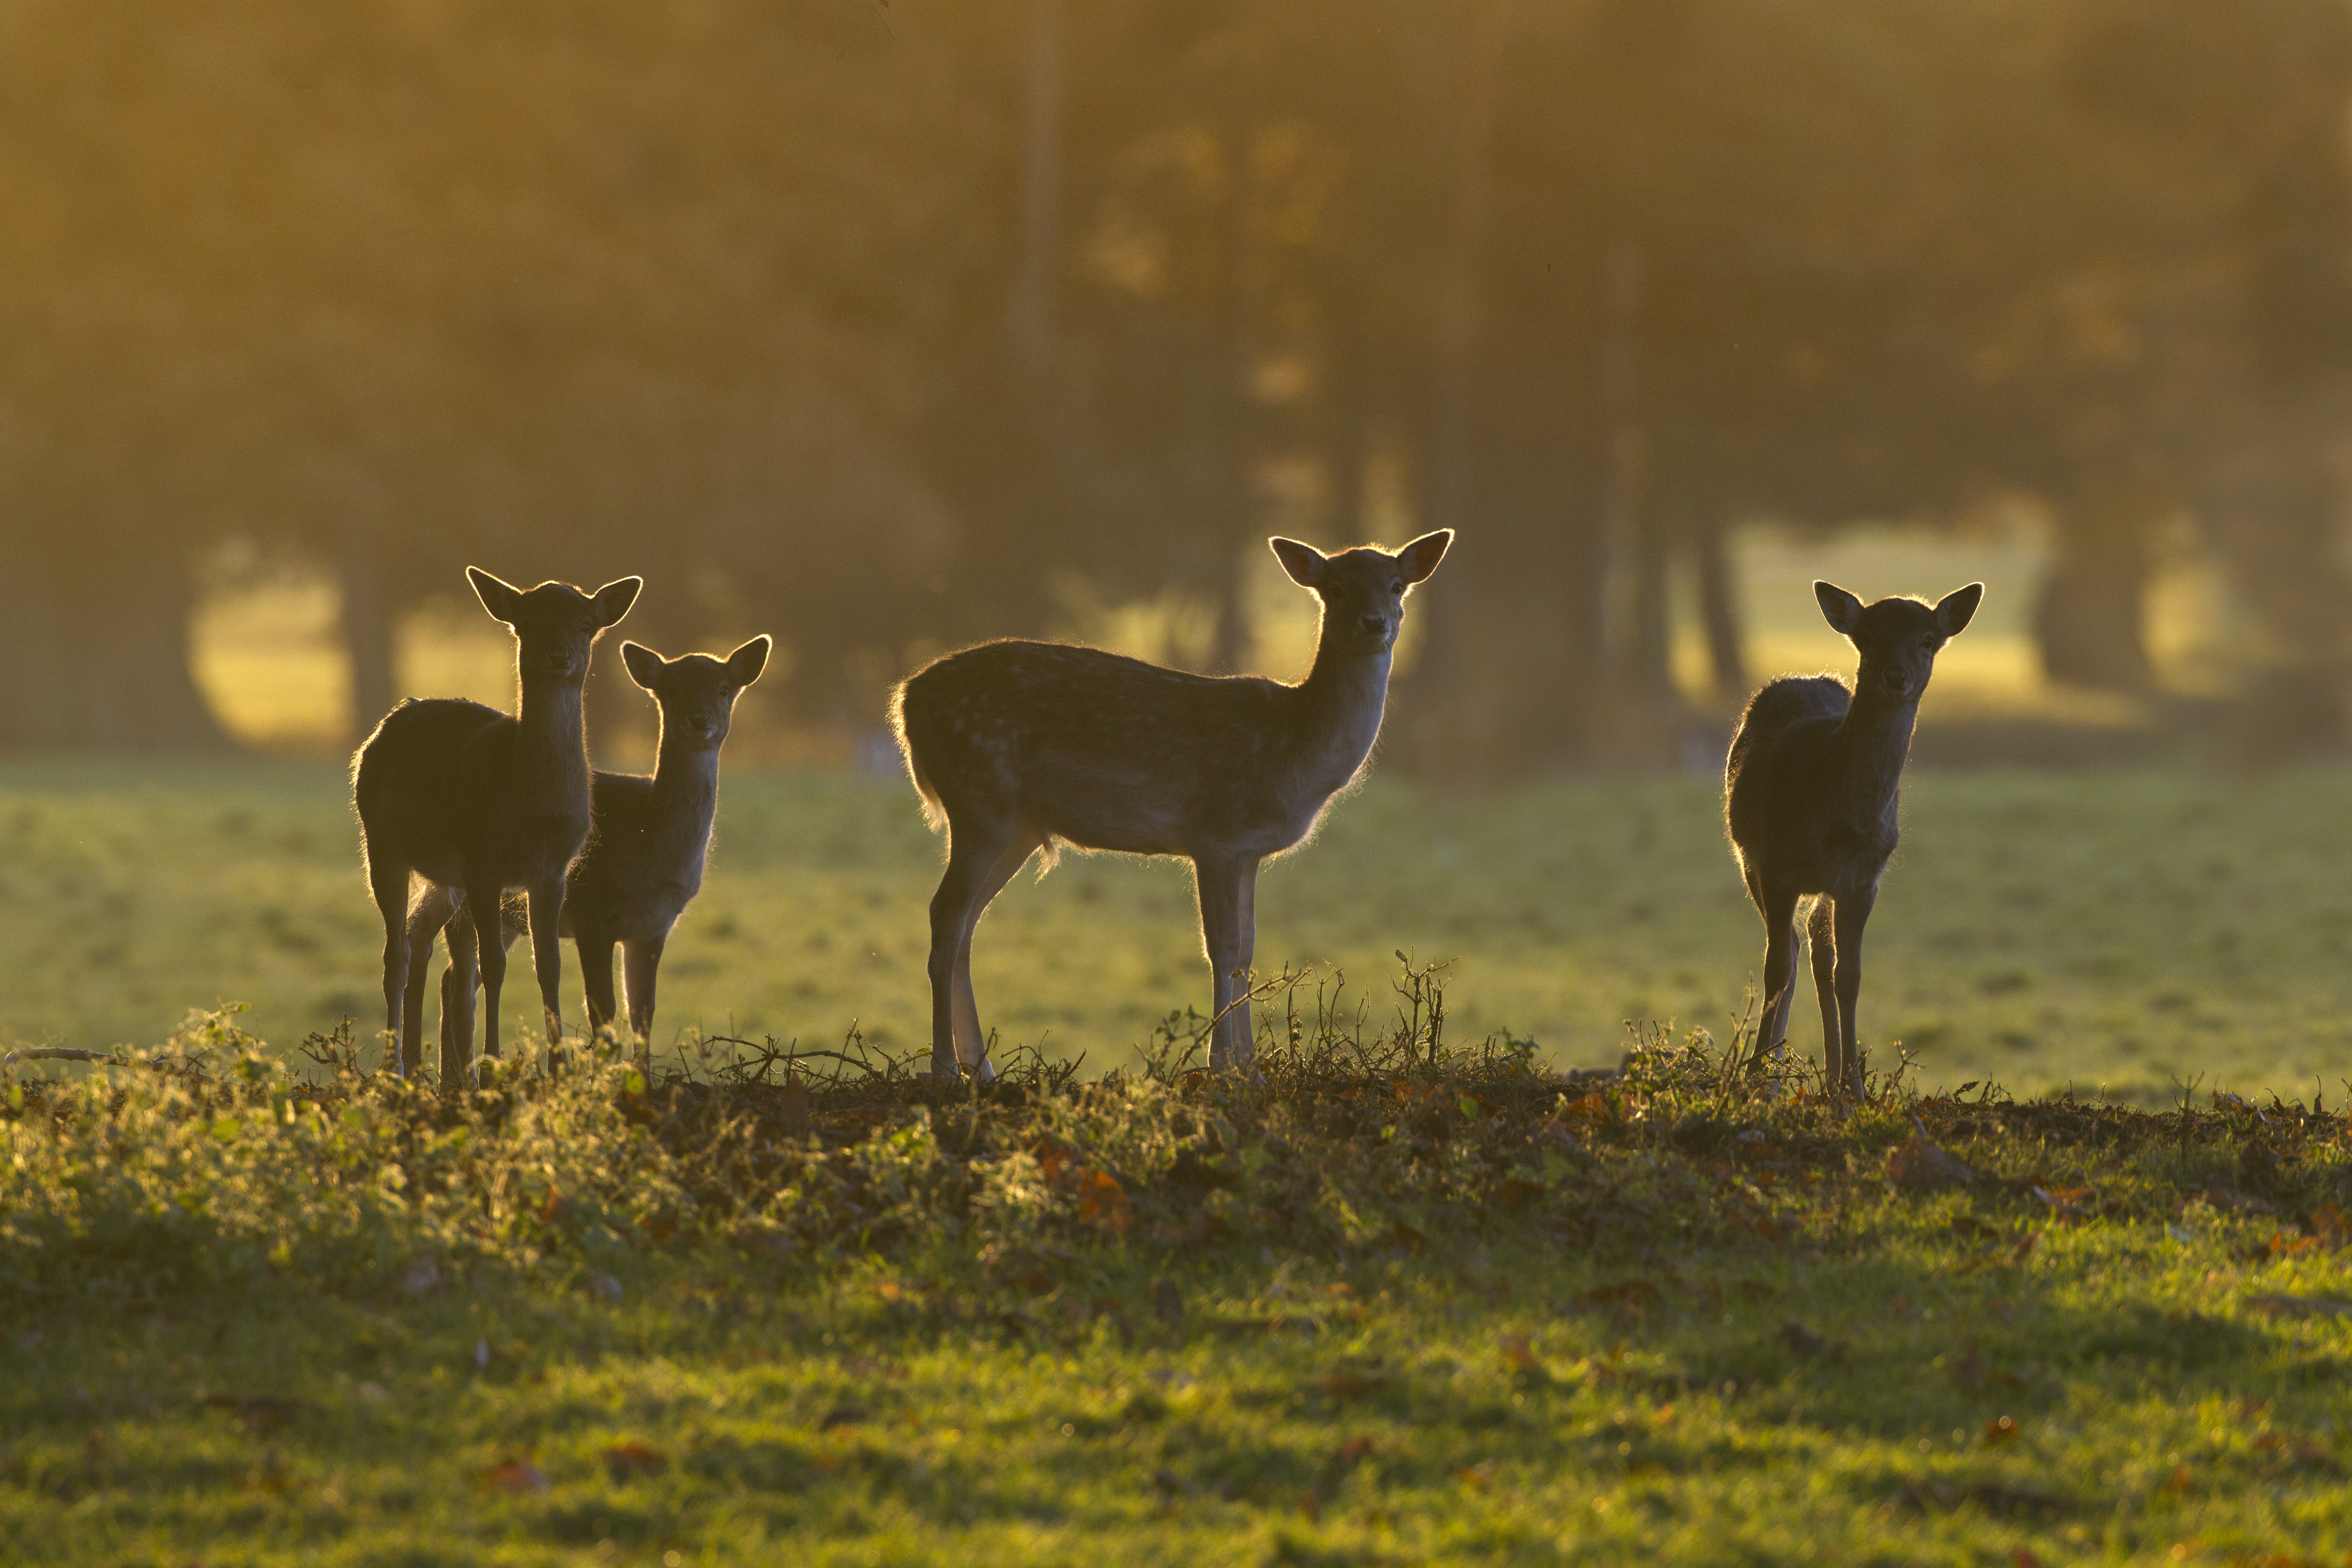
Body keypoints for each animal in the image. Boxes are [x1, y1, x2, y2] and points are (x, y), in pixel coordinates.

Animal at [348, 566, 644, 1081]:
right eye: (527, 623)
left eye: (586, 623)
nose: (560, 657)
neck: (531, 808)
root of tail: (384, 727)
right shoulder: (482, 862)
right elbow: (494, 965)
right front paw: (491, 1068)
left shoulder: (552, 872)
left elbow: (549, 965)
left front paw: (559, 1067)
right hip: (381, 845)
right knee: (396, 953)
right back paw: (395, 1069)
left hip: (445, 877)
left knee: (418, 938)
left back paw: (421, 1068)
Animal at [407, 630, 771, 1086]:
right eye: (671, 689)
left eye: (724, 688)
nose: (699, 719)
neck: (650, 848)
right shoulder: (593, 915)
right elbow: (605, 1010)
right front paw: (602, 1080)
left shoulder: (655, 925)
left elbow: (644, 1011)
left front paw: (641, 1082)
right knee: (451, 974)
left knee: (452, 978)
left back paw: (452, 1083)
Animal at [894, 527, 1448, 1081]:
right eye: (1334, 588)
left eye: (1396, 585)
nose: (1374, 622)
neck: (1293, 751)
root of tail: (905, 700)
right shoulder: (1217, 834)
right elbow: (1222, 948)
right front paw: (1221, 1064)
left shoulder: (1249, 851)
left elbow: (1248, 948)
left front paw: (1251, 1068)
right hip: (980, 799)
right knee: (946, 913)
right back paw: (945, 1068)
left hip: (1017, 826)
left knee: (968, 924)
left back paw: (982, 1068)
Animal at [1721, 580, 1975, 1104]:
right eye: (1869, 637)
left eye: (1927, 640)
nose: (1896, 676)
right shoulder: (1775, 867)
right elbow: (1776, 970)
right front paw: (1757, 1079)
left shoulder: (1863, 882)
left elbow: (1850, 977)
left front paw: (1855, 1091)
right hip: (1748, 861)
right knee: (1791, 951)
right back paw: (1772, 1072)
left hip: (1823, 888)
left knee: (1818, 953)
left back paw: (1833, 1074)